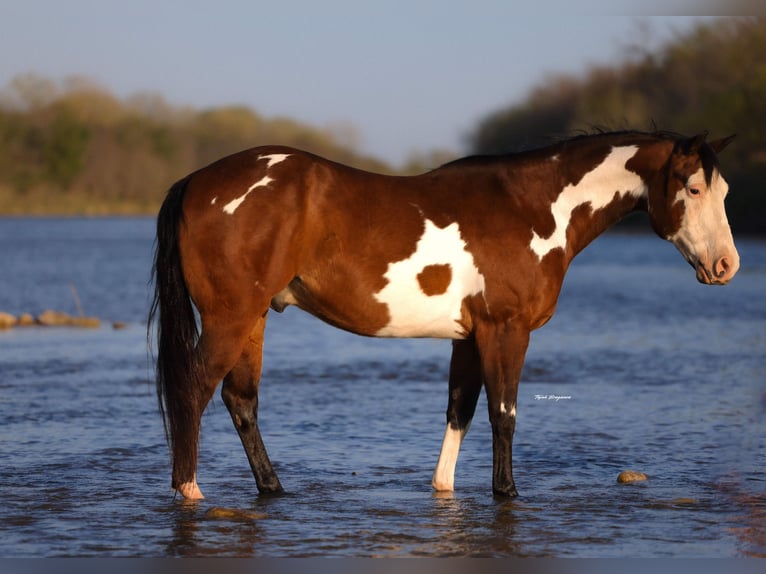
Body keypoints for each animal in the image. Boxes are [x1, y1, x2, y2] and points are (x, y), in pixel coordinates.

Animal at [149, 130, 739, 500]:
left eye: (725, 191)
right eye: (692, 188)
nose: (726, 265)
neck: (533, 208)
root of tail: (196, 182)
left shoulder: (468, 336)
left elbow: (461, 410)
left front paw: (443, 488)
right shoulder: (506, 330)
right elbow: (504, 414)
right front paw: (507, 492)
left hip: (253, 319)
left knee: (240, 400)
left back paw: (273, 489)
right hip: (230, 317)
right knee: (193, 391)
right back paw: (189, 490)